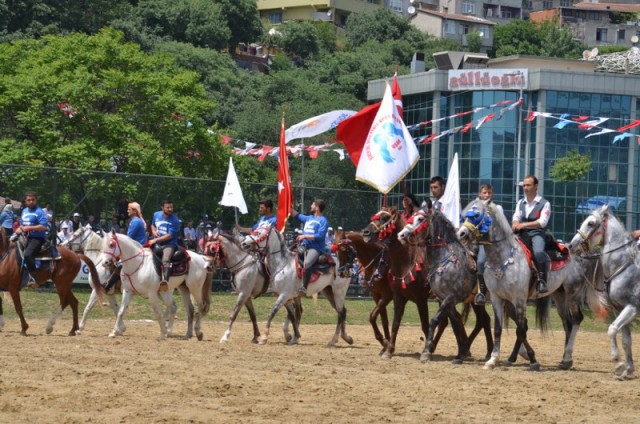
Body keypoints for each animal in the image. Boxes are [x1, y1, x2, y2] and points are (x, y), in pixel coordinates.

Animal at [568, 204, 636, 380]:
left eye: (591, 223)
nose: (571, 245)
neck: (623, 267)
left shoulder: (632, 307)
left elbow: (612, 330)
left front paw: (618, 365)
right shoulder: (619, 308)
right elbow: (626, 340)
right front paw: (628, 369)